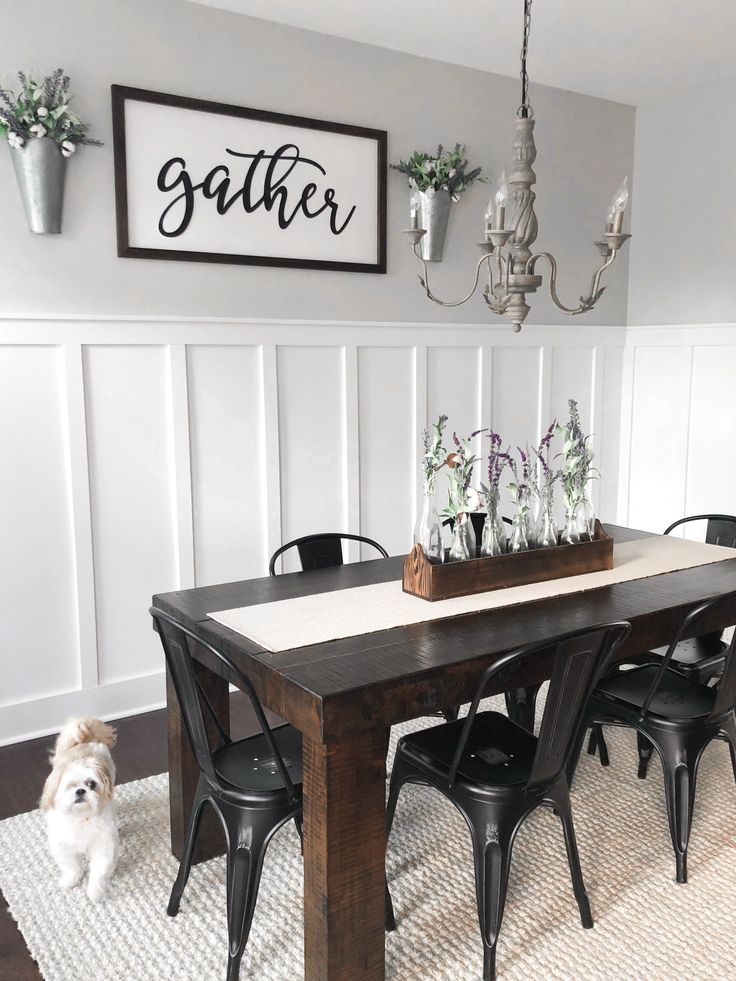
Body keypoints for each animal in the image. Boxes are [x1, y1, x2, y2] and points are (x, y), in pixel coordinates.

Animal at [41, 716, 118, 900]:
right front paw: (70, 881)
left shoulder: (102, 845)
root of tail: (85, 739)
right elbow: (71, 866)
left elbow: (99, 871)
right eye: (70, 786)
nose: (81, 790)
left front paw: (95, 892)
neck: (80, 818)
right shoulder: (63, 844)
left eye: (91, 784)